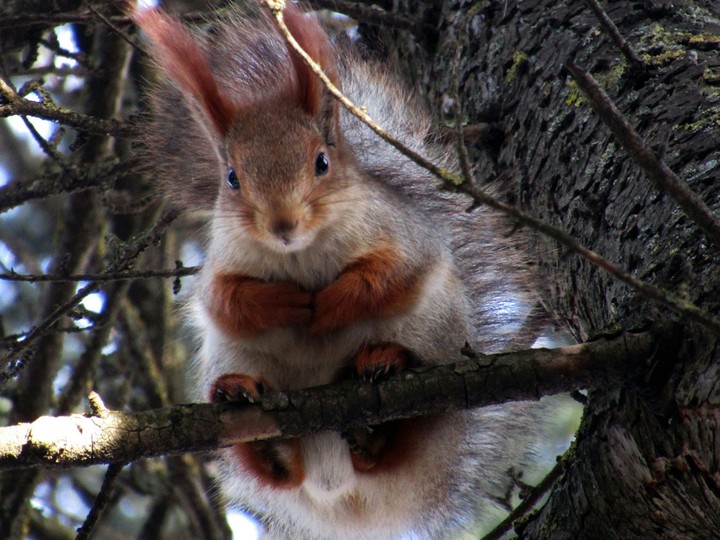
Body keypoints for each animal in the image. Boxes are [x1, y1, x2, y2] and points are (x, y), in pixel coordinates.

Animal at [133, 2, 556, 539]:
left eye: (321, 162)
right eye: (231, 177)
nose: (283, 225)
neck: (299, 255)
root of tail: (342, 493)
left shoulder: (405, 237)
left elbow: (390, 276)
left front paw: (330, 304)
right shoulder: (222, 262)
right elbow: (224, 301)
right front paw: (285, 303)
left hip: (435, 336)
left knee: (403, 434)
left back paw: (383, 378)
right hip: (234, 358)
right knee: (280, 470)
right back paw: (252, 416)